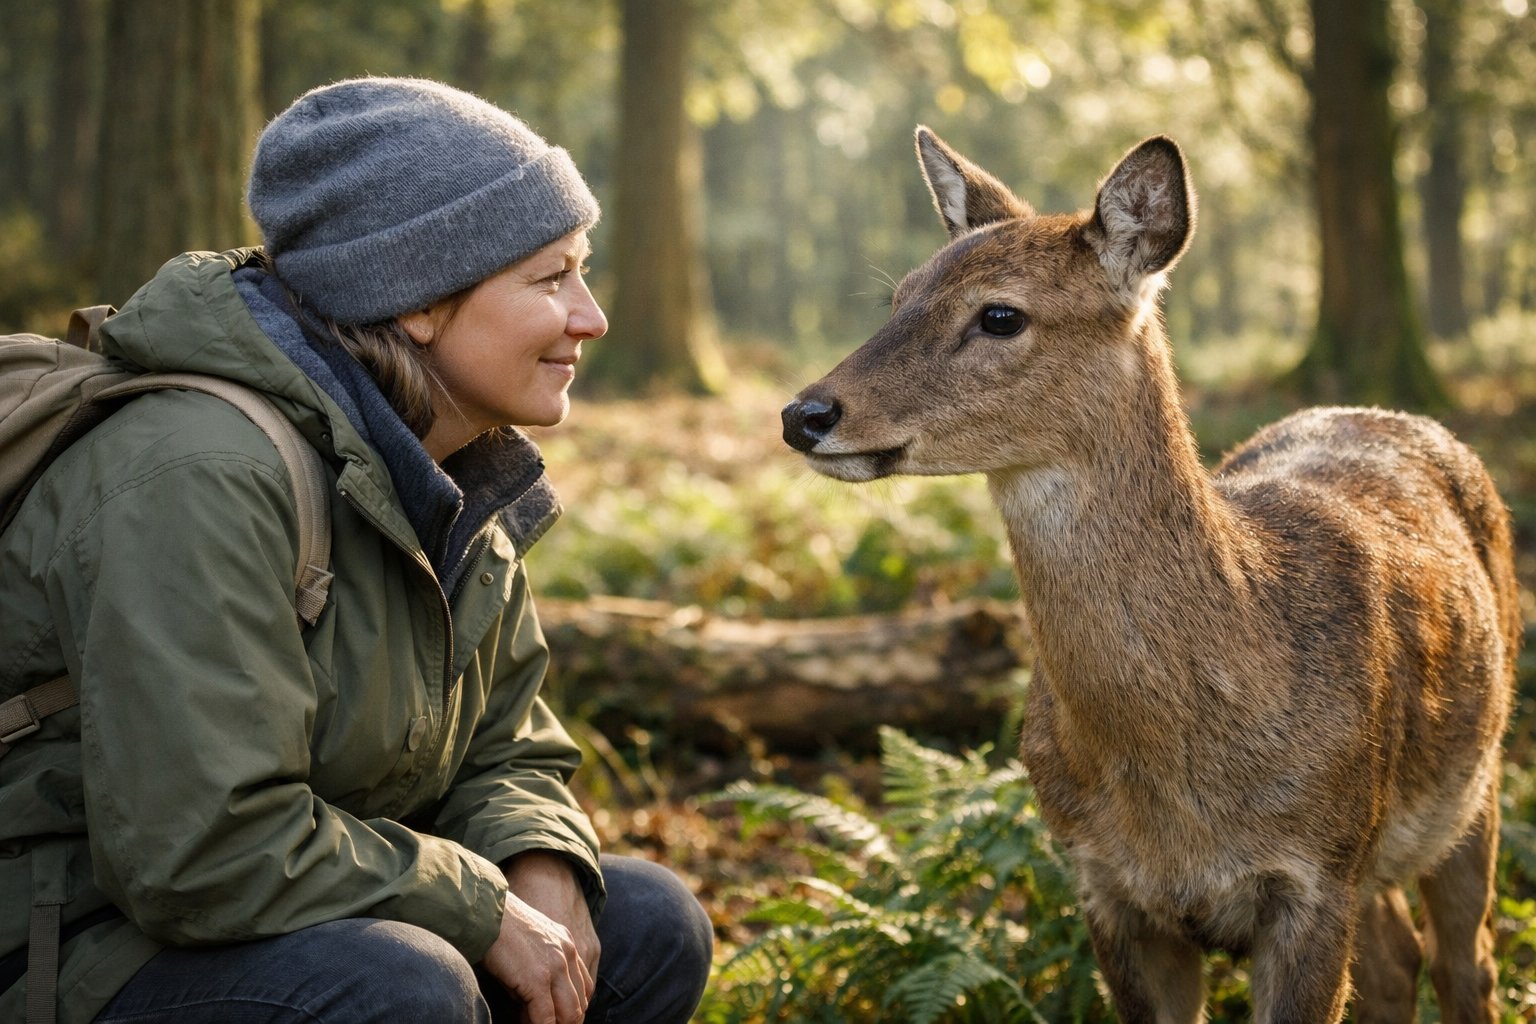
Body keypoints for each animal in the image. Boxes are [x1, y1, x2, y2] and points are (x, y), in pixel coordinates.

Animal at [781, 128, 1520, 1024]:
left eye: (1001, 314)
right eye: (899, 297)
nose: (805, 414)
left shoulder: (1316, 877)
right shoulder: (1108, 887)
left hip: (1475, 781)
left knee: (1466, 962)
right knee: (1395, 963)